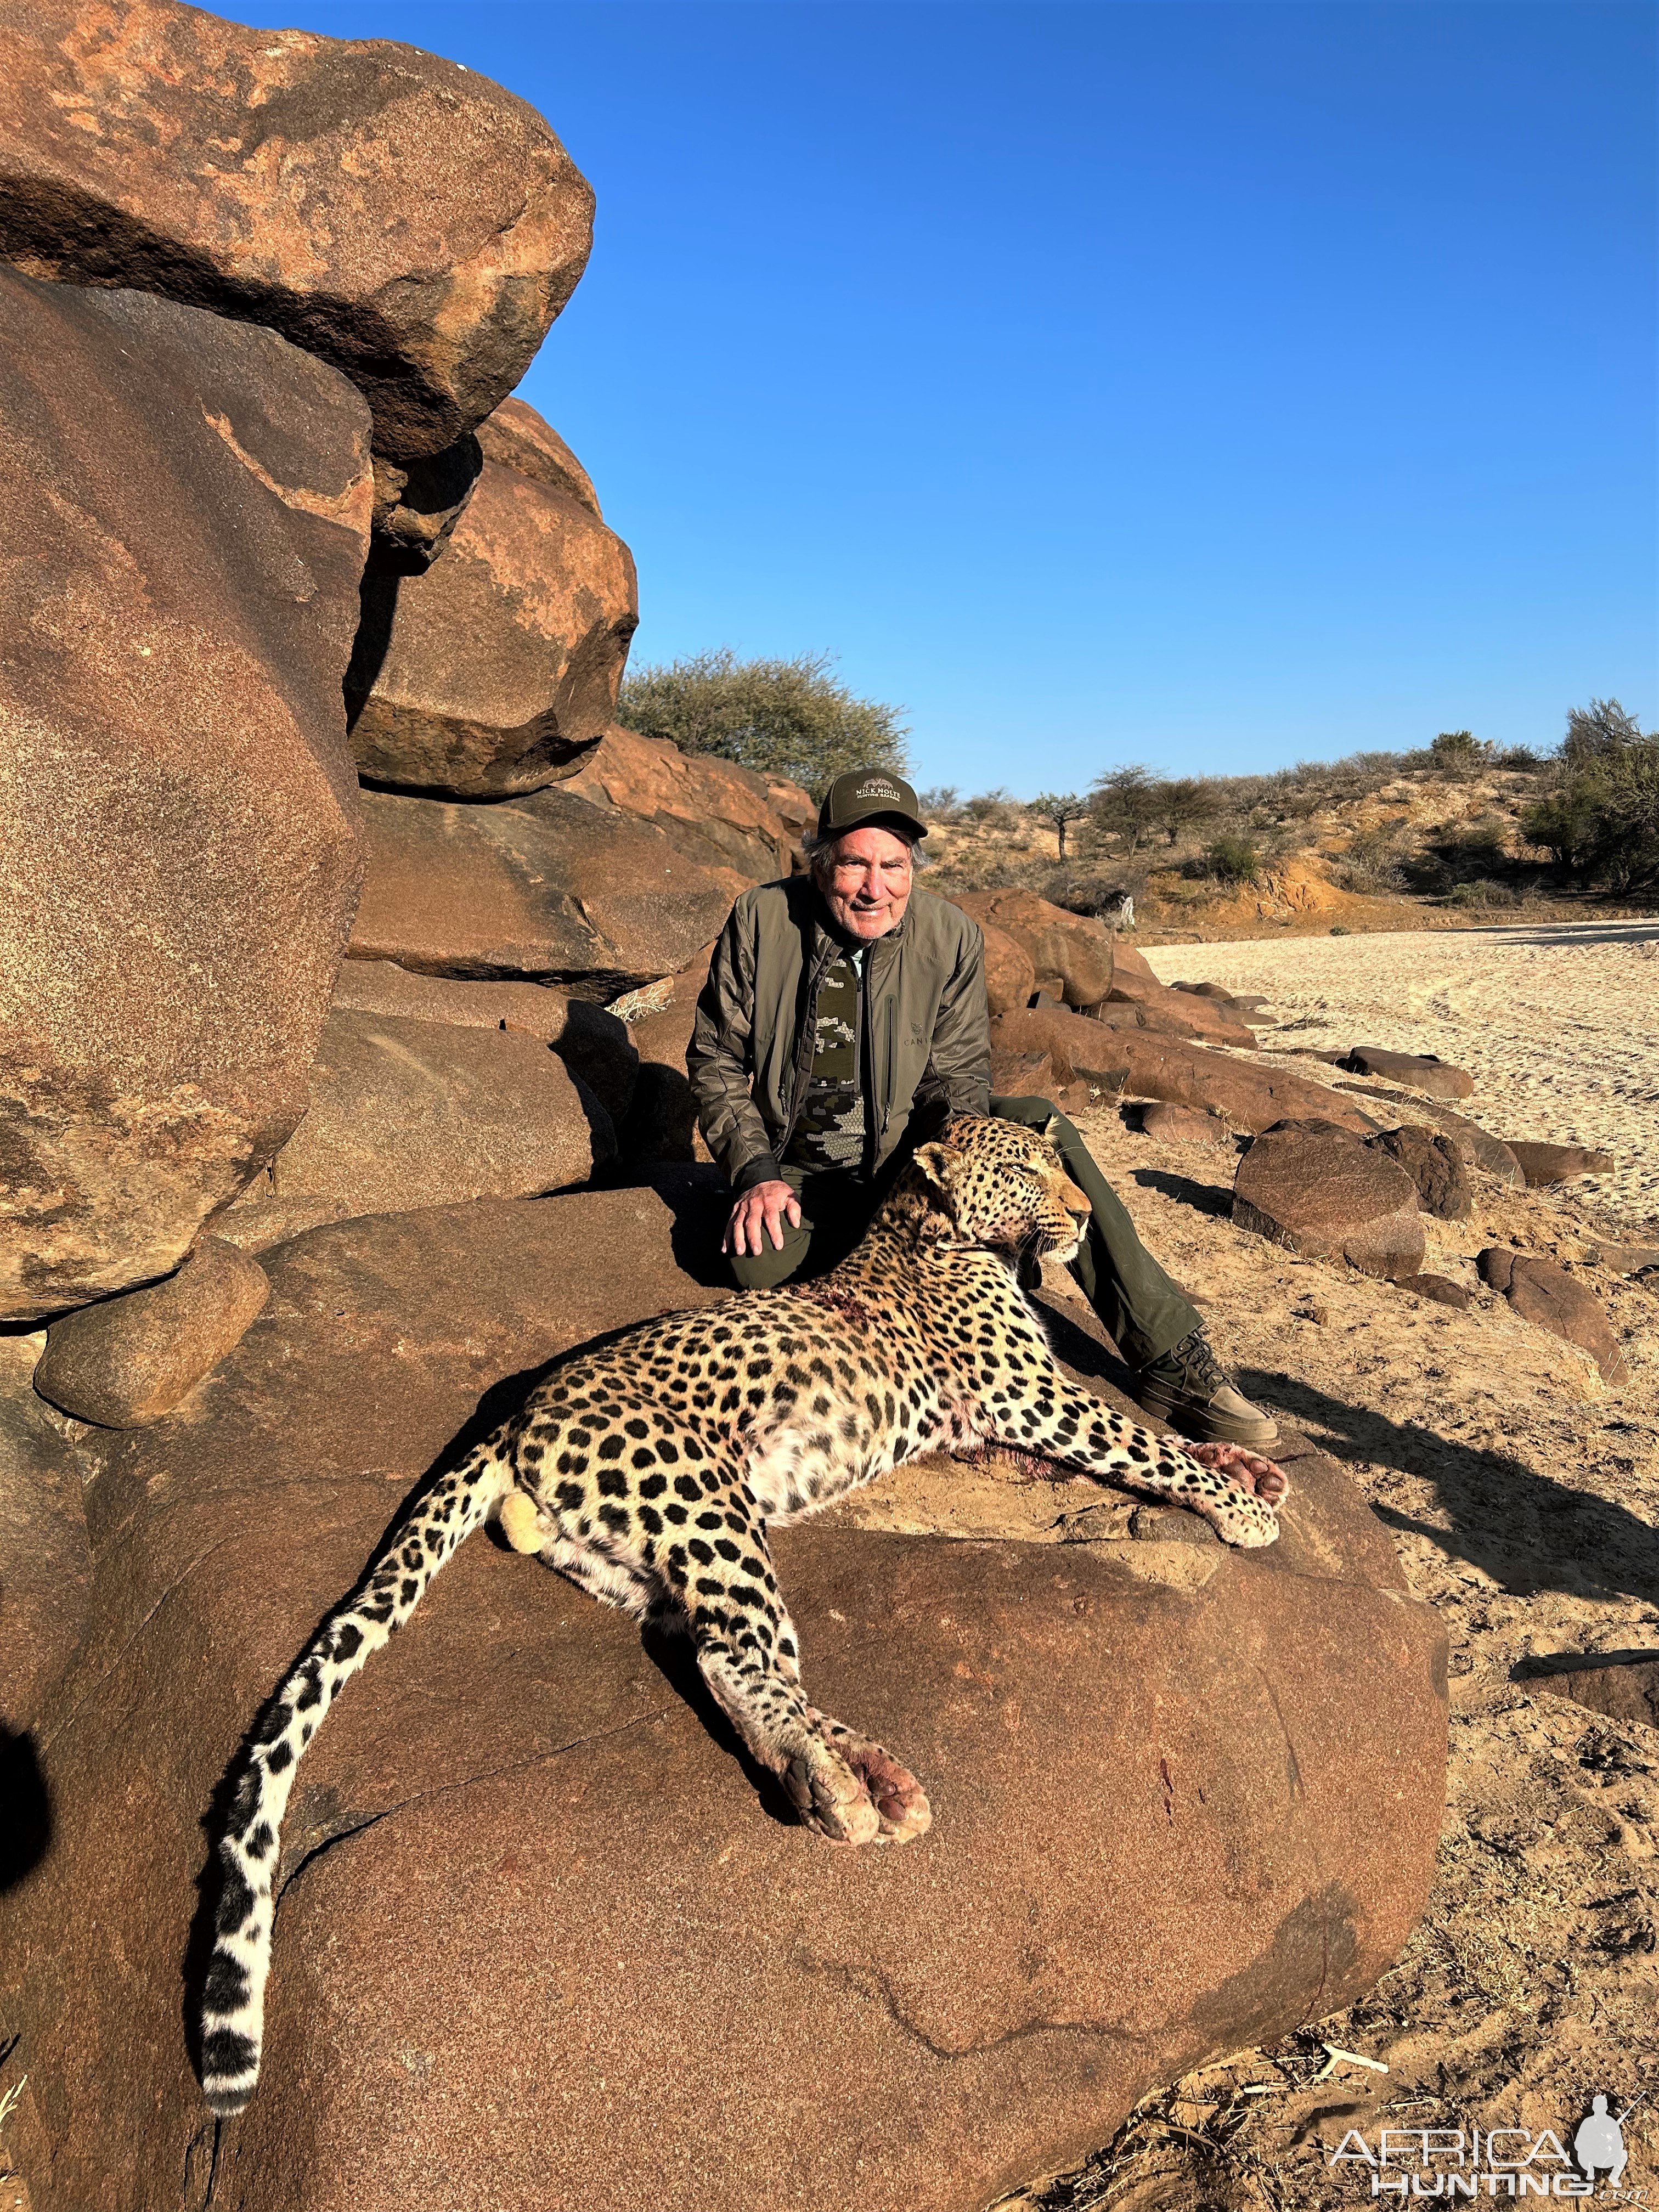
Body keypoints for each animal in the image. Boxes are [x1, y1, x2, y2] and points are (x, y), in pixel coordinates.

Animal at [191, 1115, 1283, 2114]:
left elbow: (1152, 1440)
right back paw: (840, 1785)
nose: (1081, 1212)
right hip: (709, 1506)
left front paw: (1247, 1467)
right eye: (1022, 1169)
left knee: (723, 1654)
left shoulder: (1008, 1417)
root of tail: (518, 1412)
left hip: (647, 1563)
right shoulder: (1030, 1397)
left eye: (1059, 1161)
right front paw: (1240, 1510)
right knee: (738, 1659)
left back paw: (864, 1775)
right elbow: (1143, 1444)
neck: (932, 1232)